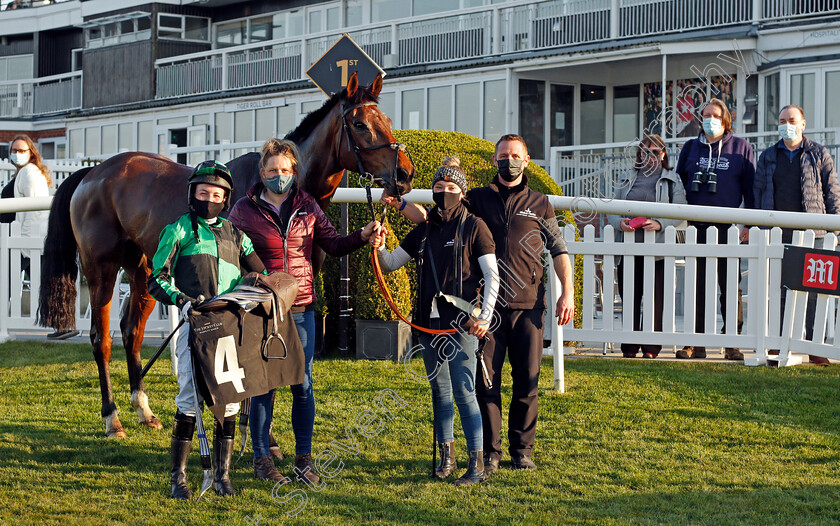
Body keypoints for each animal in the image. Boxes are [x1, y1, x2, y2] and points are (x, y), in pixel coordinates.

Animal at [39, 73, 414, 438]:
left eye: (388, 121)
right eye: (361, 124)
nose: (405, 175)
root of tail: (93, 173)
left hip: (144, 269)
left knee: (131, 333)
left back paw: (144, 411)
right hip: (100, 268)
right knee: (101, 339)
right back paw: (112, 418)